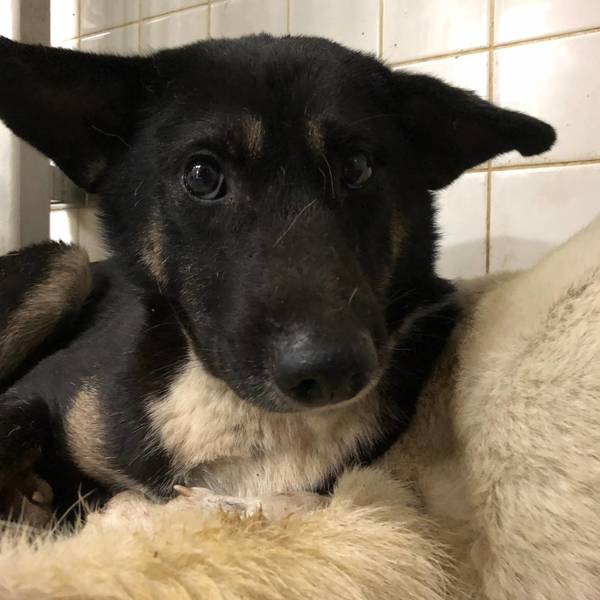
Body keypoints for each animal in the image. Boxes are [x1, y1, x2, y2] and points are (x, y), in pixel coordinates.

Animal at [0, 34, 555, 524]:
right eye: (202, 174)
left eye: (358, 166)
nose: (329, 369)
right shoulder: (41, 391)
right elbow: (13, 424)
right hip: (66, 265)